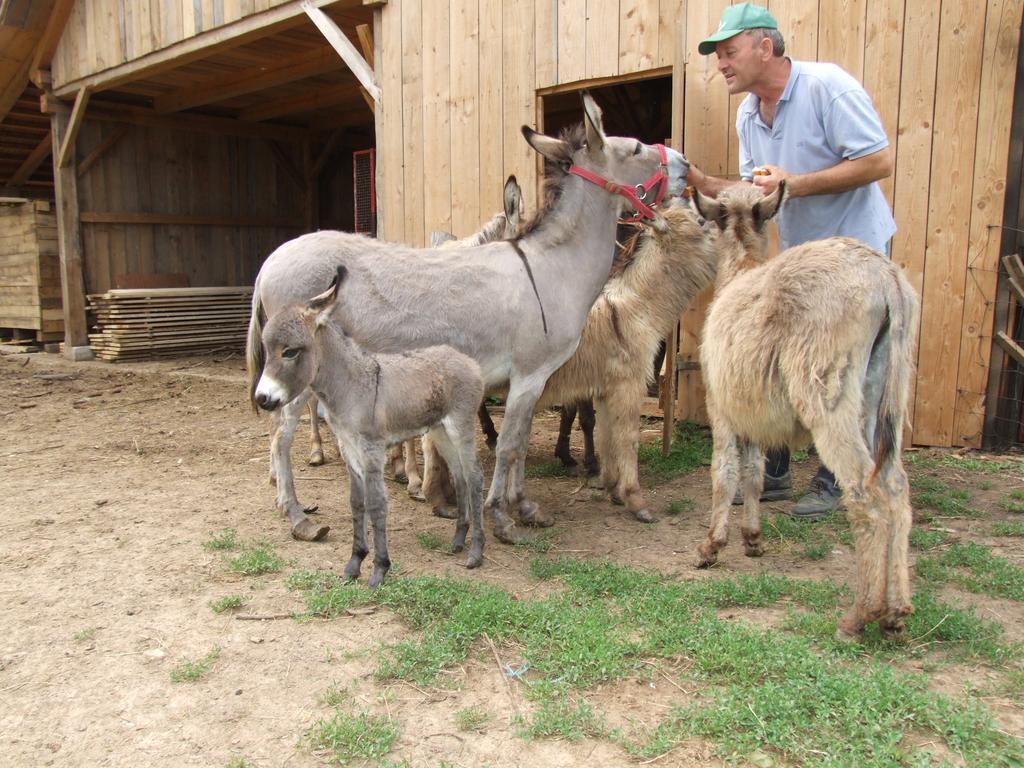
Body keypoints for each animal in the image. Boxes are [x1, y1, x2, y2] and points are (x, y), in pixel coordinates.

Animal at [251, 268, 483, 585]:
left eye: (290, 352)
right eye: (267, 349)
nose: (262, 399)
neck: (350, 386)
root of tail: (467, 360)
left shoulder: (372, 449)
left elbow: (376, 503)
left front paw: (379, 569)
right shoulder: (349, 448)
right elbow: (356, 502)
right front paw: (354, 563)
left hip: (461, 426)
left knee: (475, 478)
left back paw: (476, 554)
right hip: (440, 431)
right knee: (460, 477)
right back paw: (458, 540)